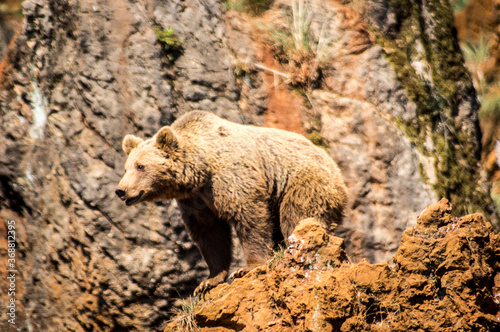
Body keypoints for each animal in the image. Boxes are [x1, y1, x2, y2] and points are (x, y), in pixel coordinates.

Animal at [115, 111, 346, 296]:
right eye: (126, 168)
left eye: (140, 166)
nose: (121, 190)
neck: (201, 170)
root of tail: (336, 168)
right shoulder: (196, 200)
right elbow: (210, 234)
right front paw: (209, 280)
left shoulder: (231, 177)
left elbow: (249, 216)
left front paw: (247, 267)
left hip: (303, 182)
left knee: (297, 217)